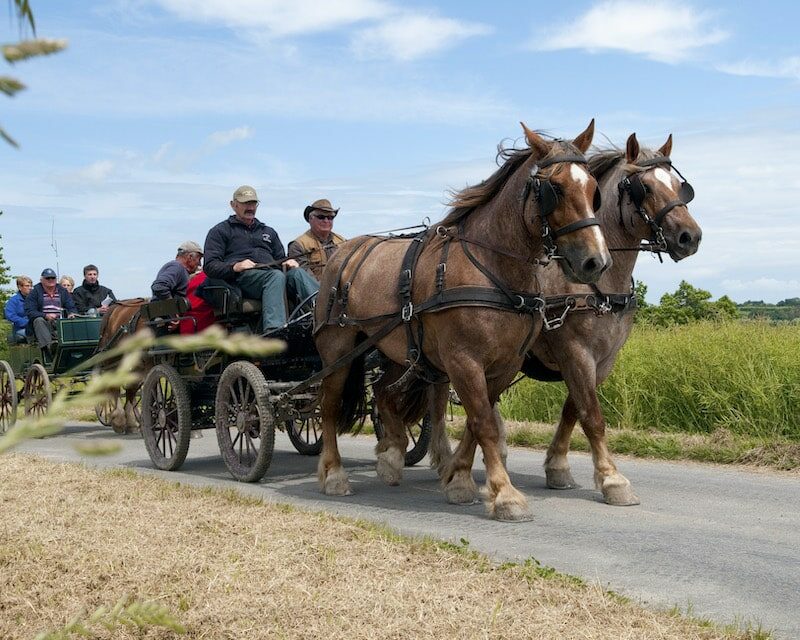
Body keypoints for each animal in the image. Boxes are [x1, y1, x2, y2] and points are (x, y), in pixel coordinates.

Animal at [95, 298, 148, 432]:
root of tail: (114, 306)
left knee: (130, 389)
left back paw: (131, 421)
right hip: (113, 360)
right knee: (115, 385)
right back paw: (119, 420)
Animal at [316, 120, 608, 520]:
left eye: (594, 188)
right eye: (555, 188)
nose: (596, 261)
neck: (492, 266)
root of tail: (341, 250)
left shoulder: (504, 363)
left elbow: (476, 420)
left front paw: (458, 479)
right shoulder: (463, 360)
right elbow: (484, 422)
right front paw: (505, 495)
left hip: (397, 348)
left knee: (385, 394)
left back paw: (391, 457)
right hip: (337, 348)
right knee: (329, 407)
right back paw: (334, 474)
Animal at [432, 134, 700, 504]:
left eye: (679, 186)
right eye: (644, 187)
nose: (690, 236)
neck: (597, 284)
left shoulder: (602, 360)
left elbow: (574, 409)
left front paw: (558, 467)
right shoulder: (575, 351)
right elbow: (592, 415)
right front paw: (612, 479)